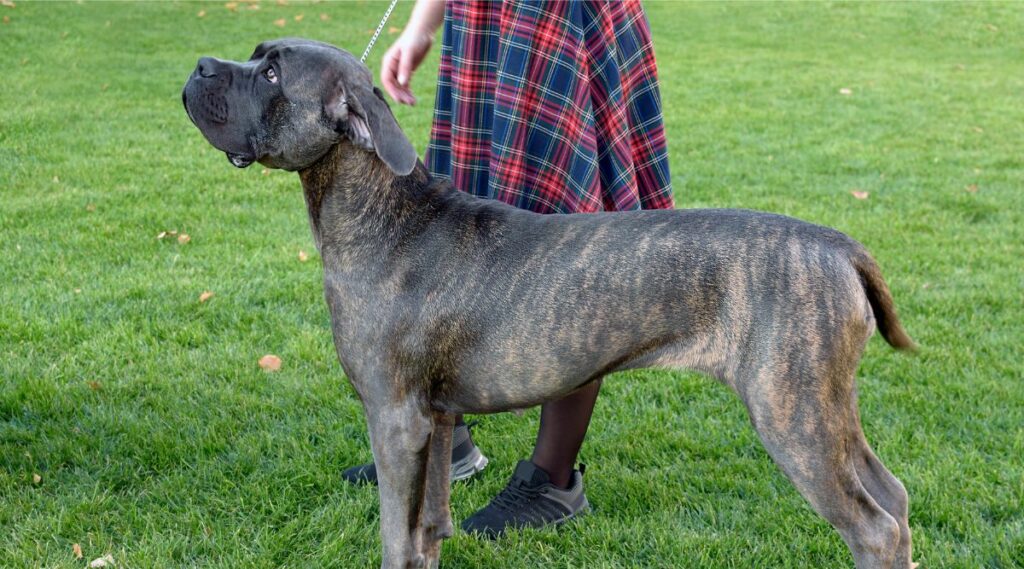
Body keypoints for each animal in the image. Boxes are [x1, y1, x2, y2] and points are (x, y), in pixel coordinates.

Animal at [182, 38, 921, 569]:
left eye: (270, 75)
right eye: (256, 56)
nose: (199, 65)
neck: (383, 213)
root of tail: (837, 246)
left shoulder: (394, 419)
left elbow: (397, 538)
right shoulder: (435, 419)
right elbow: (428, 531)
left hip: (790, 411)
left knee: (873, 528)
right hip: (827, 406)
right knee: (894, 497)